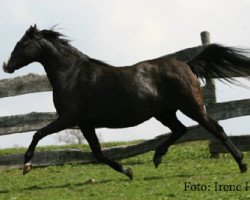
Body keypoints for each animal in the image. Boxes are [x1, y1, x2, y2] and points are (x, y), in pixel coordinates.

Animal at [2, 25, 250, 180]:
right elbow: (98, 154)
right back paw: (157, 157)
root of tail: (187, 65)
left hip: (192, 107)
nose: (7, 66)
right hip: (165, 112)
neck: (72, 76)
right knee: (180, 130)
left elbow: (37, 134)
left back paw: (241, 164)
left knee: (216, 129)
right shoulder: (85, 124)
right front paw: (128, 171)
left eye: (22, 43)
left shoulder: (68, 119)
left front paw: (26, 165)